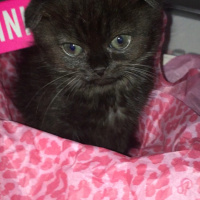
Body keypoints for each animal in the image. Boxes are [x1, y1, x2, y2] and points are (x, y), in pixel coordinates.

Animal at [13, 0, 163, 155]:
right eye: (72, 48)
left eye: (120, 40)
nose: (100, 68)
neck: (103, 96)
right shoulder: (55, 121)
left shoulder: (124, 126)